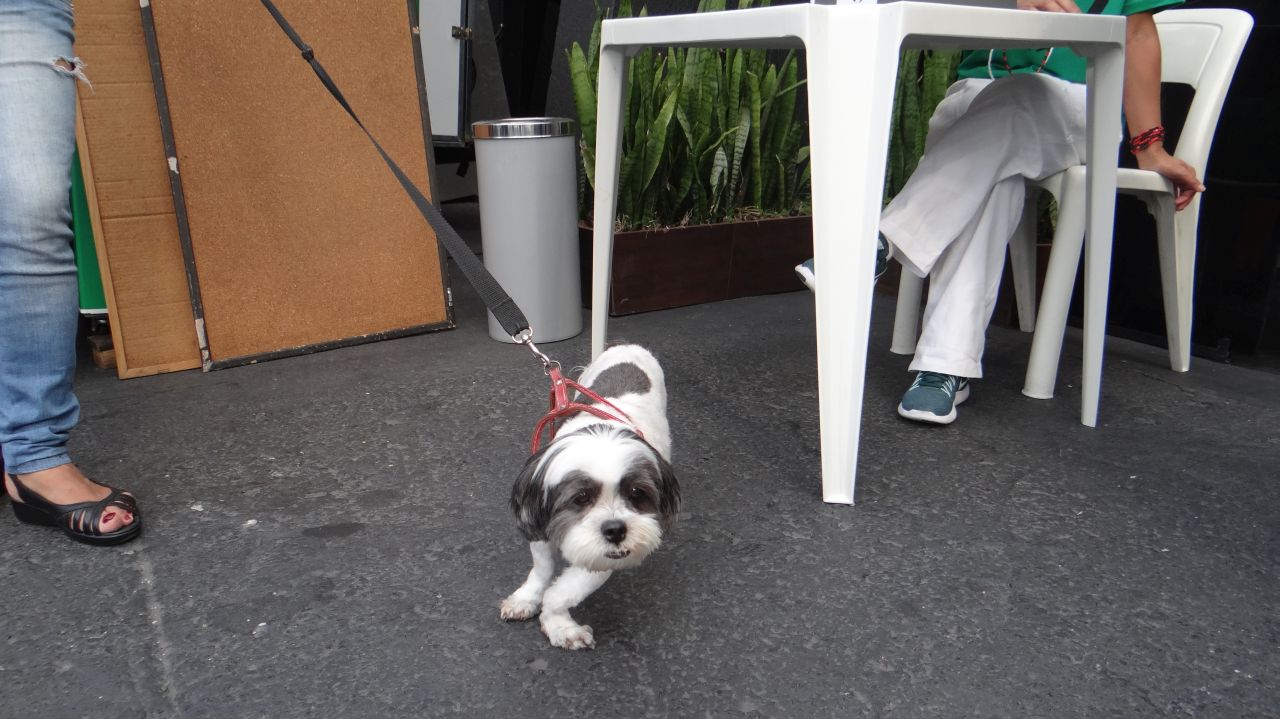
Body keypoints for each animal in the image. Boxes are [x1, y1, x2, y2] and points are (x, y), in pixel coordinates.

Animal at [500, 344, 680, 650]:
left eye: (637, 493)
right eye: (581, 497)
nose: (615, 529)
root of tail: (628, 345)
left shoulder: (607, 555)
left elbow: (564, 591)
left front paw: (559, 625)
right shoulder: (539, 520)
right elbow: (542, 569)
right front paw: (526, 598)